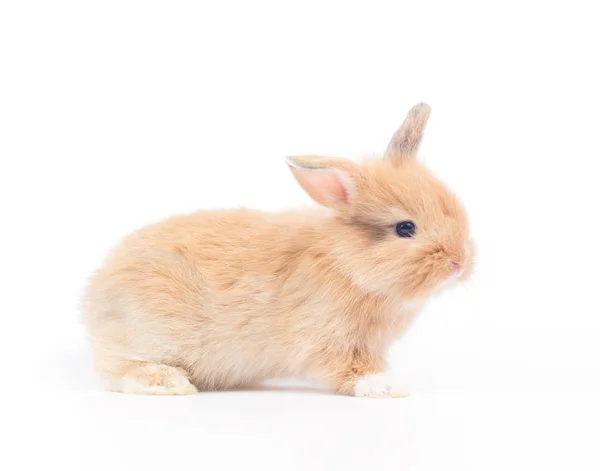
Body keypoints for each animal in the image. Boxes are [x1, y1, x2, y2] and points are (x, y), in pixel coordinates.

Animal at [83, 104, 474, 398]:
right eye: (405, 228)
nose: (459, 263)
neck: (346, 264)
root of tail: (93, 299)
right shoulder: (326, 340)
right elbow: (350, 370)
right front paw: (388, 387)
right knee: (117, 369)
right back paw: (171, 383)